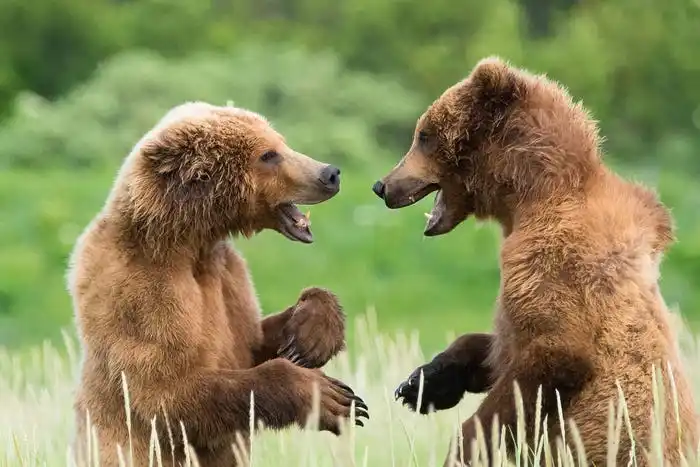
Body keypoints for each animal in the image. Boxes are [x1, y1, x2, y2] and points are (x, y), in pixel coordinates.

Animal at [68, 102, 370, 467]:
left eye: (281, 143)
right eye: (268, 154)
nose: (330, 173)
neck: (189, 243)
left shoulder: (228, 277)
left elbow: (252, 338)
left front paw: (310, 336)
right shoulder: (139, 290)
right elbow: (163, 392)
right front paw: (331, 398)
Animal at [372, 58, 696, 467]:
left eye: (424, 135)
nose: (382, 186)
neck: (526, 197)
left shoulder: (553, 261)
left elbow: (552, 357)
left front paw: (465, 445)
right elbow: (498, 347)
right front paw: (422, 382)